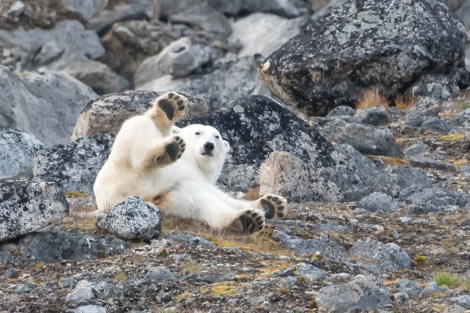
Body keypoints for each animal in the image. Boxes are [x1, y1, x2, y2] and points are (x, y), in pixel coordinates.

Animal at [93, 91, 288, 233]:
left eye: (216, 136)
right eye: (197, 132)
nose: (209, 145)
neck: (193, 162)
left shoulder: (198, 183)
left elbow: (226, 199)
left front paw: (272, 204)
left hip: (174, 201)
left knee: (208, 206)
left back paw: (246, 220)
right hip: (121, 169)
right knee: (139, 126)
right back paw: (168, 127)